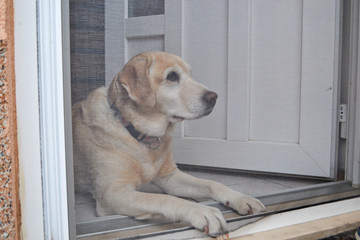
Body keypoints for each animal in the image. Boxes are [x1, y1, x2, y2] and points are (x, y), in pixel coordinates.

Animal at [72, 51, 264, 236]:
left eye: (190, 74)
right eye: (172, 76)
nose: (214, 97)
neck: (138, 133)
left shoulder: (170, 177)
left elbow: (211, 183)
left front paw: (241, 198)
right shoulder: (111, 193)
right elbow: (163, 198)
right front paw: (201, 211)